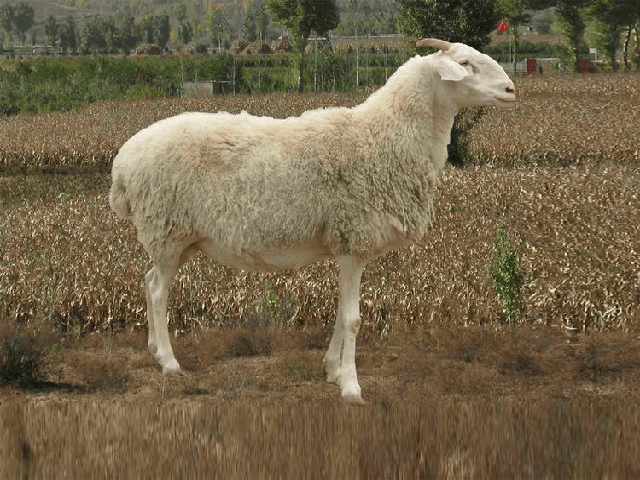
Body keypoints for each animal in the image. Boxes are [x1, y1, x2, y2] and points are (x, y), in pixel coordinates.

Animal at [109, 38, 516, 404]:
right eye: (465, 63)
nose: (511, 89)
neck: (381, 137)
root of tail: (123, 161)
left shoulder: (346, 245)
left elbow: (340, 312)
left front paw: (332, 369)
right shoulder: (354, 238)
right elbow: (353, 319)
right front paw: (351, 387)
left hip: (177, 238)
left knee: (148, 281)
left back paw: (153, 349)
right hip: (166, 228)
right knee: (158, 291)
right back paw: (169, 362)